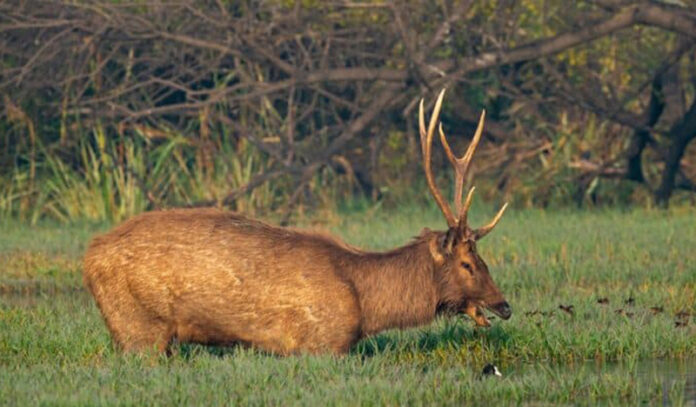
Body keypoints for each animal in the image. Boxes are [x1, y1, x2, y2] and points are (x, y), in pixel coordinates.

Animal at [82, 89, 511, 356]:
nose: (504, 306)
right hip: (139, 328)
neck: (367, 305)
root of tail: (89, 255)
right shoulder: (322, 342)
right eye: (467, 263)